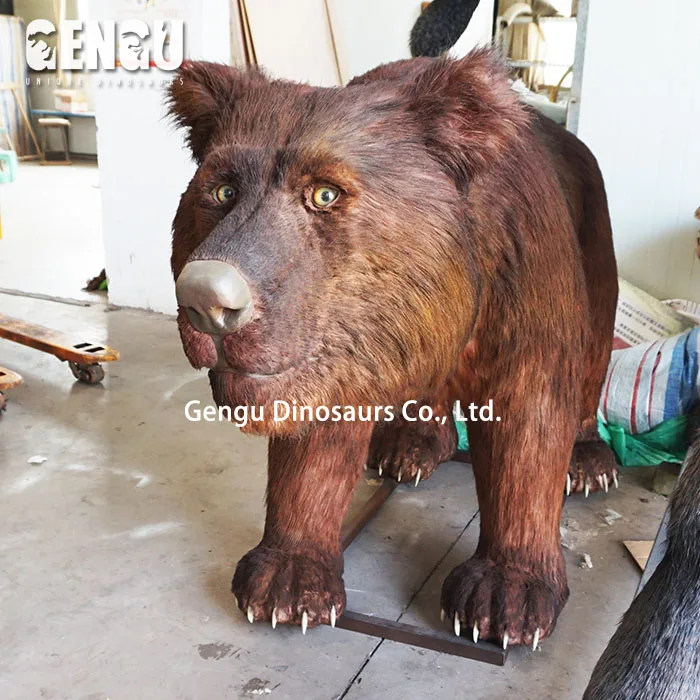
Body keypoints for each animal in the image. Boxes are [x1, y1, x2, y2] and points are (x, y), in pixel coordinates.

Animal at [167, 47, 618, 648]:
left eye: (325, 193)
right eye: (222, 191)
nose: (206, 299)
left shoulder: (526, 296)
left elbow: (529, 431)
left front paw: (506, 600)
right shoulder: (338, 348)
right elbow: (312, 456)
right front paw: (287, 585)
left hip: (596, 247)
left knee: (594, 356)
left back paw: (589, 463)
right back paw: (408, 446)